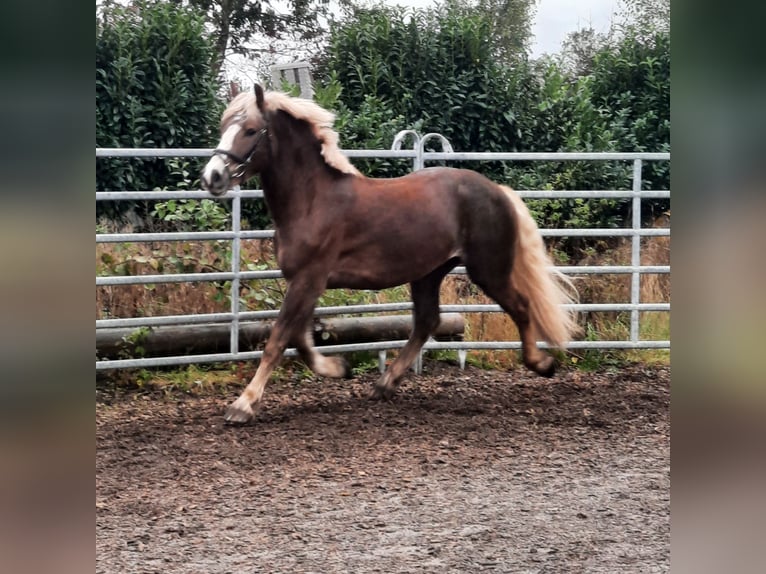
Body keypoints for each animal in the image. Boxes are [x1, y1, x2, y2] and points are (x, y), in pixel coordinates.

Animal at [201, 86, 580, 428]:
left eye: (251, 130)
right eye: (224, 126)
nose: (212, 176)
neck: (312, 201)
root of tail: (497, 191)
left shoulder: (310, 278)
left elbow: (279, 338)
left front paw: (242, 406)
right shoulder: (304, 281)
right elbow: (300, 337)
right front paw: (338, 369)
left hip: (489, 269)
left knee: (520, 306)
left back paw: (542, 364)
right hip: (429, 272)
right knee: (427, 321)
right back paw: (385, 384)